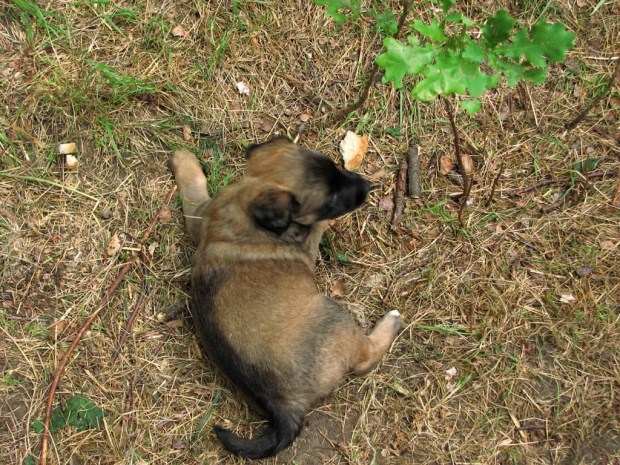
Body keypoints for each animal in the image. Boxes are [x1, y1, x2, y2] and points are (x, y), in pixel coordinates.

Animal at [167, 136, 404, 458]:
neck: (245, 207)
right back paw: (392, 322)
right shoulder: (310, 236)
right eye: (329, 200)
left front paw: (183, 159)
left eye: (335, 166)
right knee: (365, 359)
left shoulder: (199, 214)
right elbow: (321, 225)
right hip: (333, 314)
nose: (366, 186)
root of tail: (285, 407)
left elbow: (192, 190)